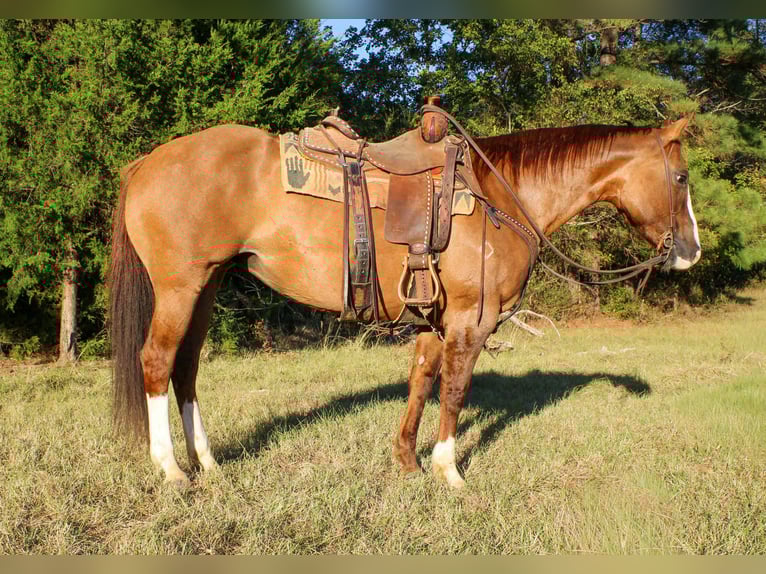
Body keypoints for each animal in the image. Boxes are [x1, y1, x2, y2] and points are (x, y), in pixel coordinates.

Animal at [109, 114, 700, 488]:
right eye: (681, 176)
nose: (691, 250)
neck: (500, 196)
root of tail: (144, 162)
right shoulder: (471, 320)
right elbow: (455, 390)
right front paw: (448, 471)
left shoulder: (434, 321)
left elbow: (421, 383)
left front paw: (407, 462)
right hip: (180, 289)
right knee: (157, 362)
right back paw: (171, 469)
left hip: (205, 287)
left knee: (186, 368)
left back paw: (208, 463)